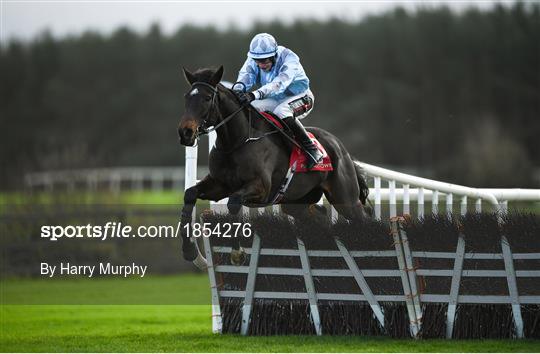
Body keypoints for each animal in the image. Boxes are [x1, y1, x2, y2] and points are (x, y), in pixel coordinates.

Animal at [178, 65, 372, 268]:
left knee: (363, 216)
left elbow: (234, 202)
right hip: (296, 204)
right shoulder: (220, 184)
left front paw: (237, 252)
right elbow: (190, 194)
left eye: (207, 98)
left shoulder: (261, 188)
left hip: (345, 199)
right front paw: (189, 251)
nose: (185, 132)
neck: (237, 142)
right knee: (320, 217)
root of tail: (341, 148)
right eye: (187, 96)